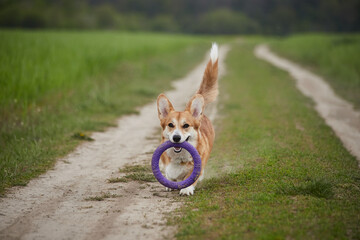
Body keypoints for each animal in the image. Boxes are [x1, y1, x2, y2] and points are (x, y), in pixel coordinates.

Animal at [155, 43, 218, 195]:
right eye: (170, 125)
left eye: (186, 125)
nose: (176, 138)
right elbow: (169, 174)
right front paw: (170, 183)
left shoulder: (198, 166)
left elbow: (192, 176)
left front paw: (187, 188)